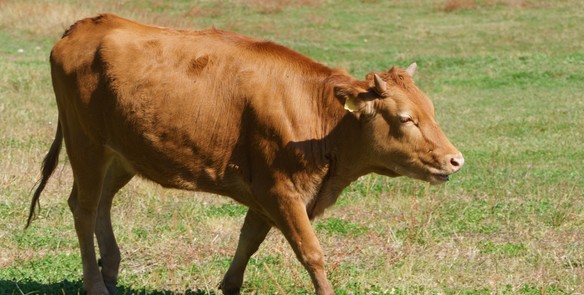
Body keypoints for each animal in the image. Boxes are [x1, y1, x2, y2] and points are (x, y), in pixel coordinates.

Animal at [27, 13, 464, 295]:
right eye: (406, 118)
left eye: (431, 110)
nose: (455, 159)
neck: (319, 118)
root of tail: (87, 24)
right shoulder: (280, 190)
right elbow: (311, 252)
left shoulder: (267, 192)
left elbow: (249, 240)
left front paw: (230, 285)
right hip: (86, 144)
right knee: (84, 209)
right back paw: (95, 284)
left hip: (122, 155)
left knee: (100, 203)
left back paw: (112, 269)